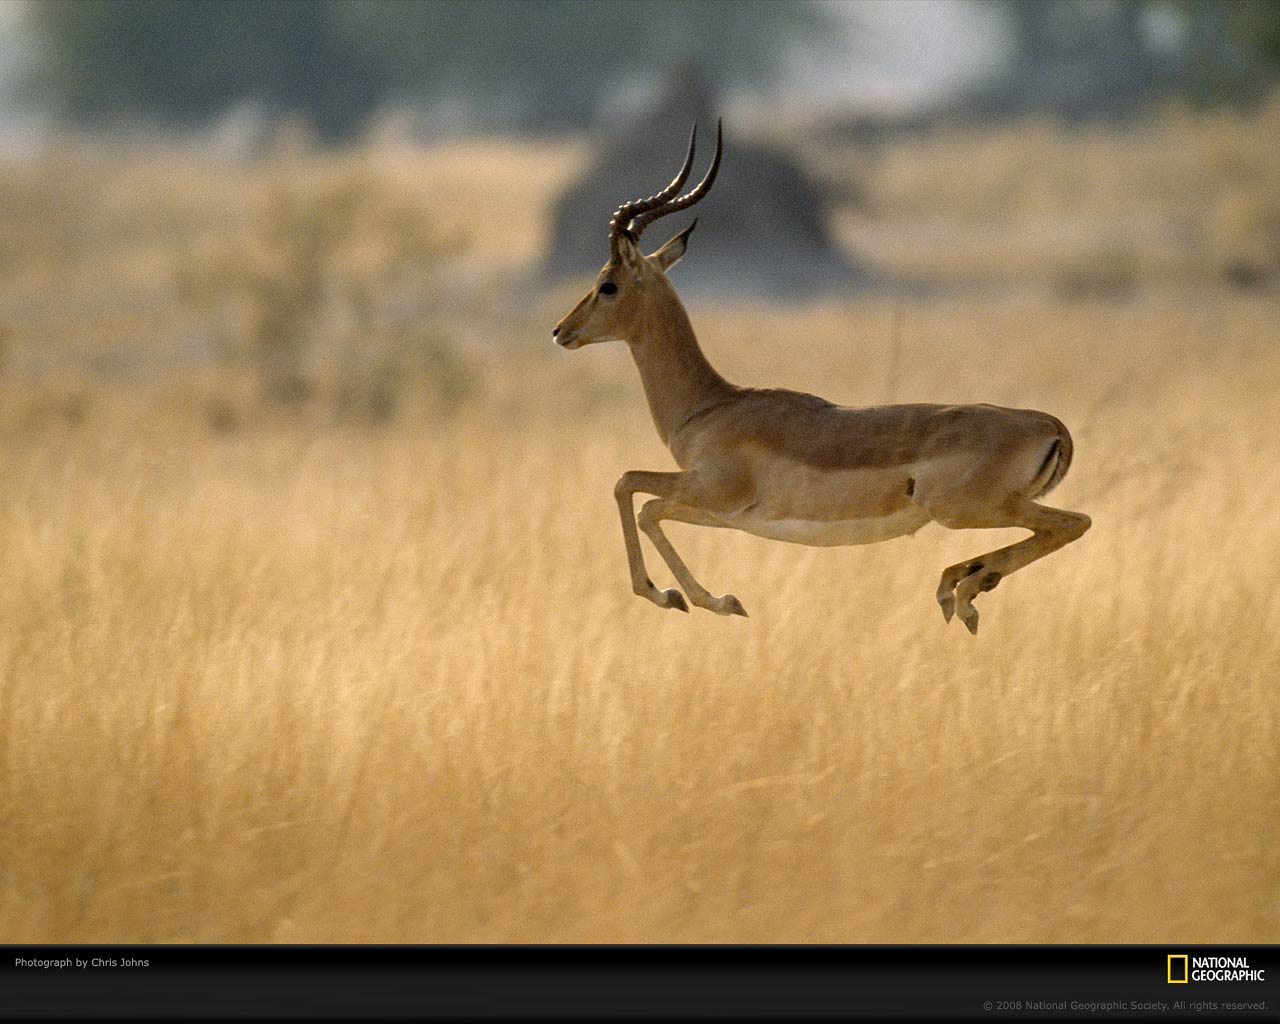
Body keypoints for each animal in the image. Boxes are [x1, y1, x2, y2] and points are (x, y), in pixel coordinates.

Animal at [552, 122, 1090, 633]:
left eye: (607, 284)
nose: (561, 331)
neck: (710, 406)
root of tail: (1049, 425)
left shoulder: (711, 491)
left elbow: (632, 491)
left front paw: (692, 598)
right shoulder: (727, 516)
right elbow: (641, 499)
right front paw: (702, 599)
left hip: (966, 509)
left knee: (1073, 522)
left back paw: (963, 592)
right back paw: (960, 586)